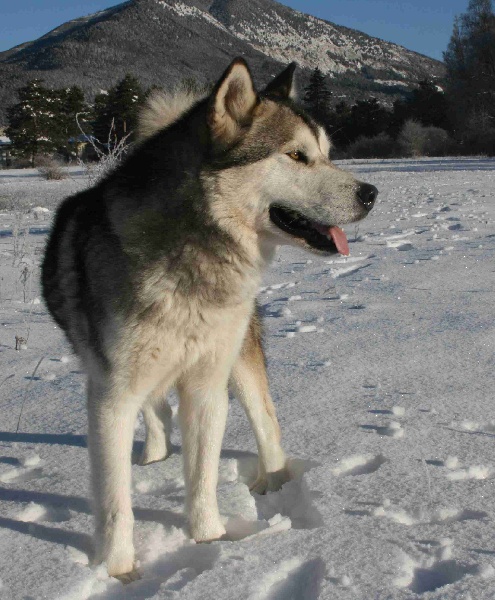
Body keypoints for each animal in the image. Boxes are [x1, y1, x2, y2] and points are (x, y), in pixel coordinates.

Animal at [41, 58, 376, 580]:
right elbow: (116, 501)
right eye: (297, 155)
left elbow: (202, 478)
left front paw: (211, 545)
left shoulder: (206, 387)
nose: (371, 193)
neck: (193, 253)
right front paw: (119, 571)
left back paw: (275, 484)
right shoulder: (112, 395)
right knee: (156, 414)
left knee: (267, 423)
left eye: (326, 154)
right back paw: (155, 455)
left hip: (240, 358)